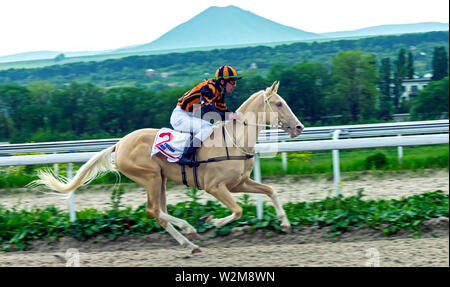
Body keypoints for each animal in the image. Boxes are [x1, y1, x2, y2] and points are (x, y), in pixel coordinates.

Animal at [31, 81, 304, 254]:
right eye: (278, 103)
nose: (300, 127)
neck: (234, 141)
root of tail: (119, 145)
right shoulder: (215, 187)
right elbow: (237, 211)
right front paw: (212, 221)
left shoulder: (238, 183)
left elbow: (270, 191)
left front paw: (285, 224)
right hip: (150, 177)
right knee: (153, 210)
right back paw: (190, 230)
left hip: (160, 179)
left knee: (158, 212)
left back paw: (190, 245)